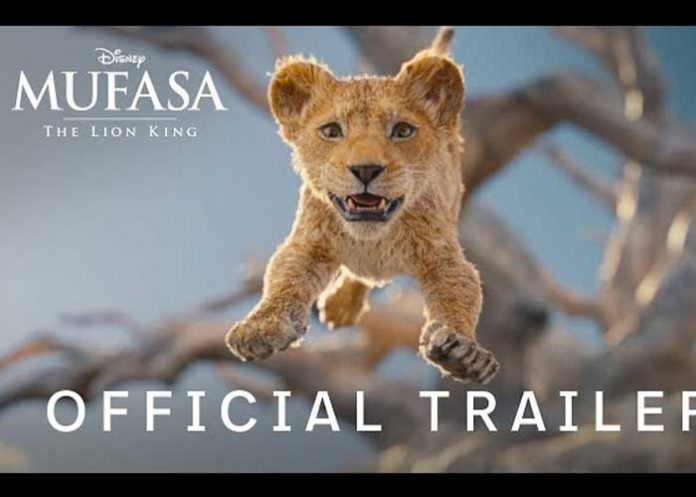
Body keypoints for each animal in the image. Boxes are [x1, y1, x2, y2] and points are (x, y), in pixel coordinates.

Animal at [225, 42, 500, 384]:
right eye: (331, 131)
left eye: (403, 131)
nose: (366, 169)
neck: (373, 240)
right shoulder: (308, 244)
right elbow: (283, 280)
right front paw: (260, 328)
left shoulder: (442, 257)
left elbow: (459, 294)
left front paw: (463, 352)